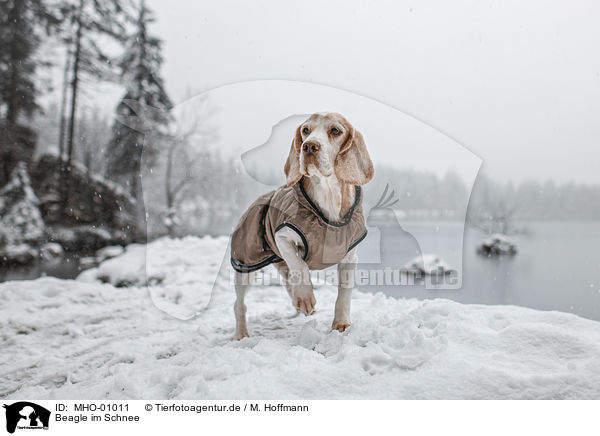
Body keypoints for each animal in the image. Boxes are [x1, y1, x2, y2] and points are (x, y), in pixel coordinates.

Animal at [232, 113, 372, 340]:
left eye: (335, 131)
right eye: (306, 130)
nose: (309, 146)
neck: (328, 194)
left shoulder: (350, 256)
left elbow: (344, 292)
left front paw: (341, 324)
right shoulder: (281, 236)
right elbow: (300, 265)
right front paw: (306, 297)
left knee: (288, 286)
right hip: (245, 262)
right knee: (239, 304)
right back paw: (242, 333)